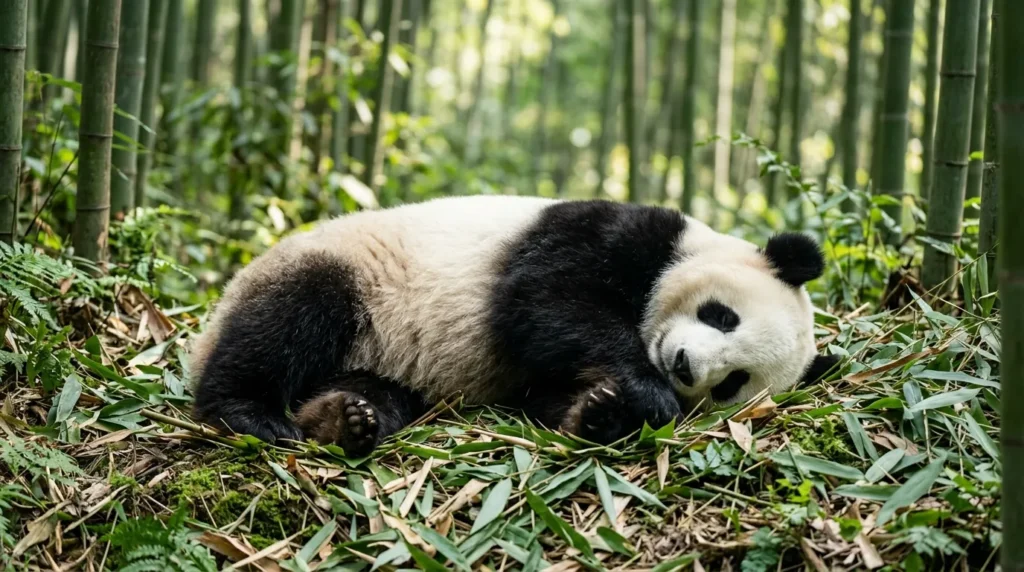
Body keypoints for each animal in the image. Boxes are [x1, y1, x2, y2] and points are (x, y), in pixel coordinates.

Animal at [189, 195, 839, 455]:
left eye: (732, 383)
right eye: (721, 316)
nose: (682, 366)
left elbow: (547, 396)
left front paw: (600, 411)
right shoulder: (612, 232)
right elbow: (547, 298)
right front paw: (642, 392)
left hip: (387, 365)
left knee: (382, 394)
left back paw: (345, 419)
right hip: (348, 273)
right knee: (290, 319)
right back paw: (249, 413)